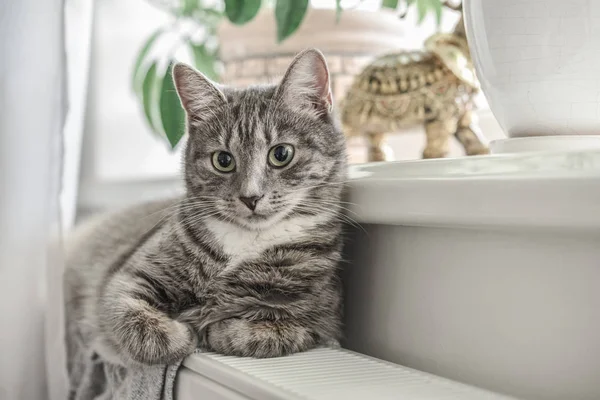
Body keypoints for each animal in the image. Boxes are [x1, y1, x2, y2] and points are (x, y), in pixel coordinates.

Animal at [63, 48, 346, 368]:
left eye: (281, 154)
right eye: (223, 160)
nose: (250, 197)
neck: (246, 241)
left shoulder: (323, 318)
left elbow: (268, 333)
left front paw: (217, 327)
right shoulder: (126, 276)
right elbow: (132, 318)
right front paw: (182, 335)